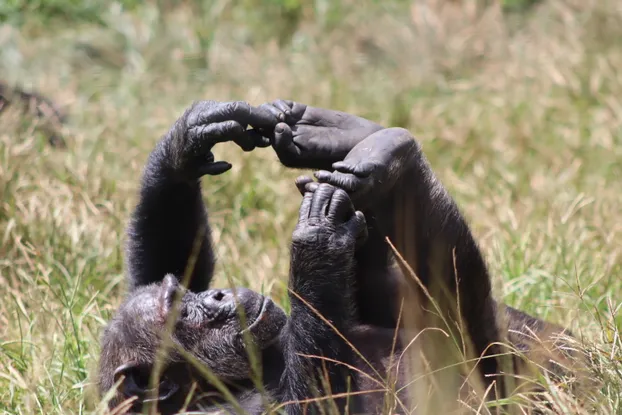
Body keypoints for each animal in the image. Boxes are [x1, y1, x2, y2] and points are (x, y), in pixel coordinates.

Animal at [98, 100, 576, 412]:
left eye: (186, 294)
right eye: (184, 315)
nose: (216, 297)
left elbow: (168, 258)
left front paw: (188, 141)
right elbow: (317, 402)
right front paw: (317, 236)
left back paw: (358, 141)